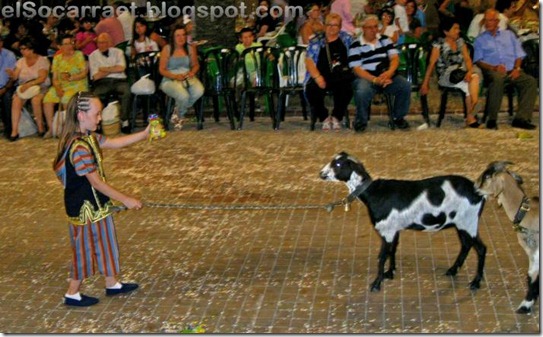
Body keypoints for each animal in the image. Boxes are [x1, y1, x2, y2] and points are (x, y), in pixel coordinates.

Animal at [318, 152, 488, 292]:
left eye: (338, 164)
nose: (321, 173)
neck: (374, 193)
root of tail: (478, 192)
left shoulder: (386, 230)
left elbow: (382, 256)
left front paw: (376, 284)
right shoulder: (394, 229)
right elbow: (393, 250)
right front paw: (389, 273)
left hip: (469, 221)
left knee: (481, 249)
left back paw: (475, 282)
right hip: (461, 223)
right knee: (466, 245)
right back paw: (452, 270)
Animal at [476, 161, 540, 314]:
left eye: (487, 176)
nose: (475, 188)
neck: (526, 213)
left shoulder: (535, 249)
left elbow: (532, 274)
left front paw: (525, 305)